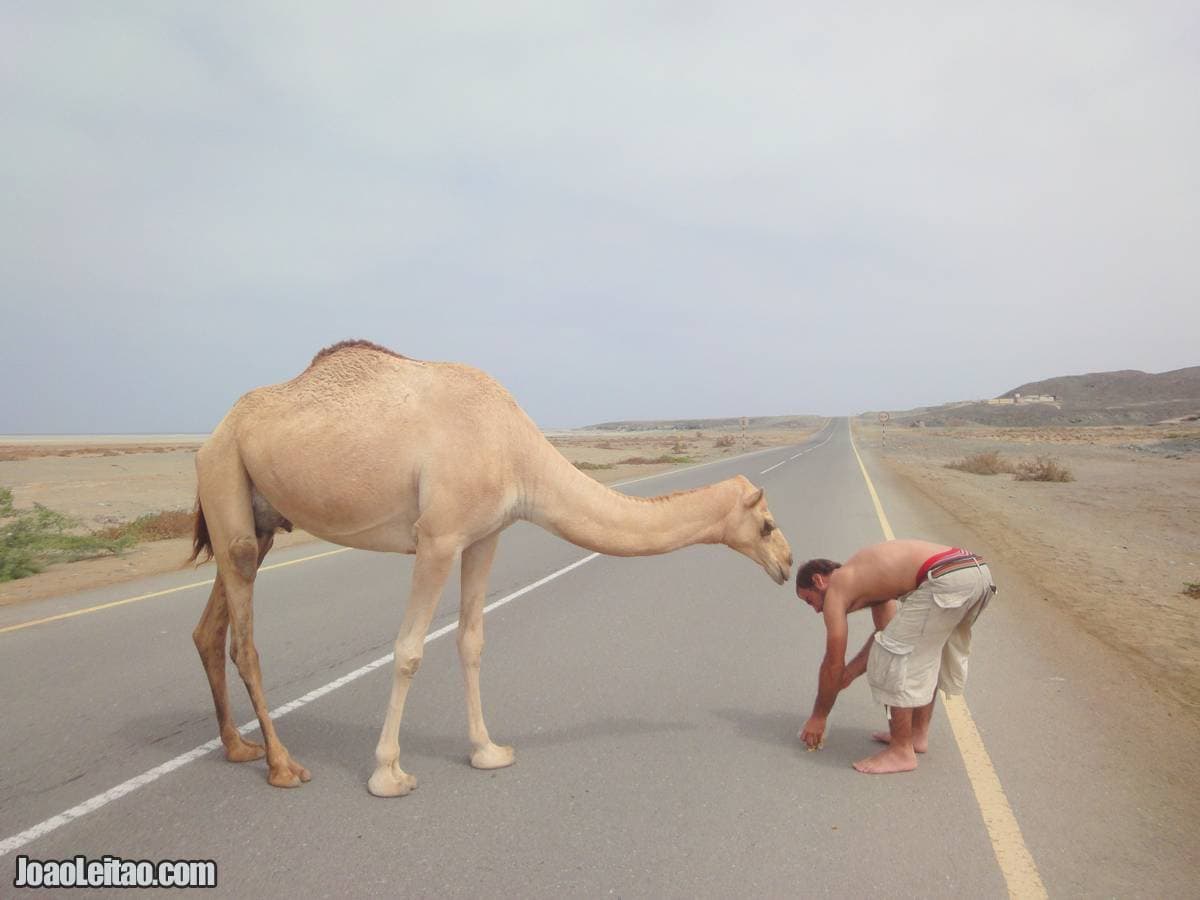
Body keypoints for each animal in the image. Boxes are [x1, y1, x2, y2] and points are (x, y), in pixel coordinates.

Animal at [187, 340, 792, 801]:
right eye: (766, 524)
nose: (787, 563)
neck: (516, 449)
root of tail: (214, 432)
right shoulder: (437, 538)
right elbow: (409, 649)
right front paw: (388, 773)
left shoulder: (484, 536)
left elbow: (471, 641)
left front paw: (488, 751)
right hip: (225, 479)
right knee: (244, 638)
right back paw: (282, 765)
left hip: (258, 516)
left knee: (209, 628)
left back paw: (239, 748)